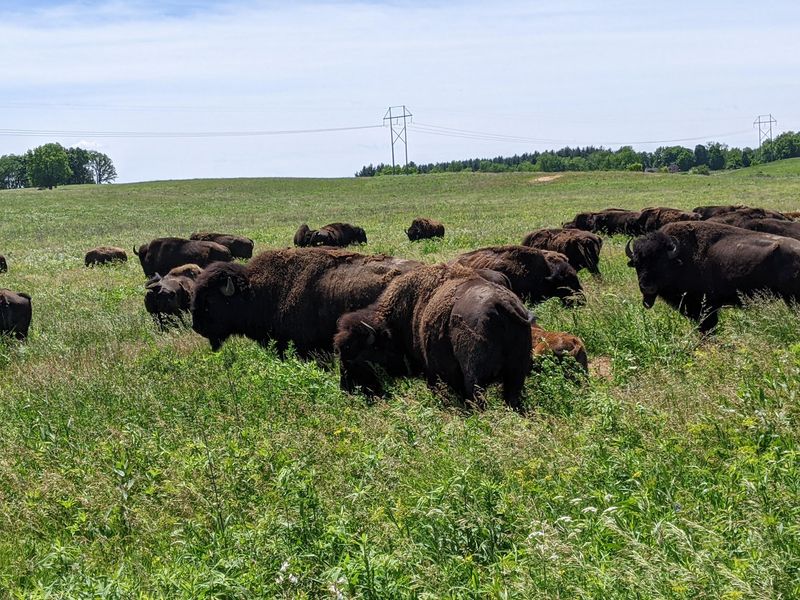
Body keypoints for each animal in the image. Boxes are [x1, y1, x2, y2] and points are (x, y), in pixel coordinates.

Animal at [334, 263, 533, 410]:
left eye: (354, 359)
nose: (345, 388)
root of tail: (502, 303)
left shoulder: (432, 371)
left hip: (475, 378)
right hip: (516, 375)